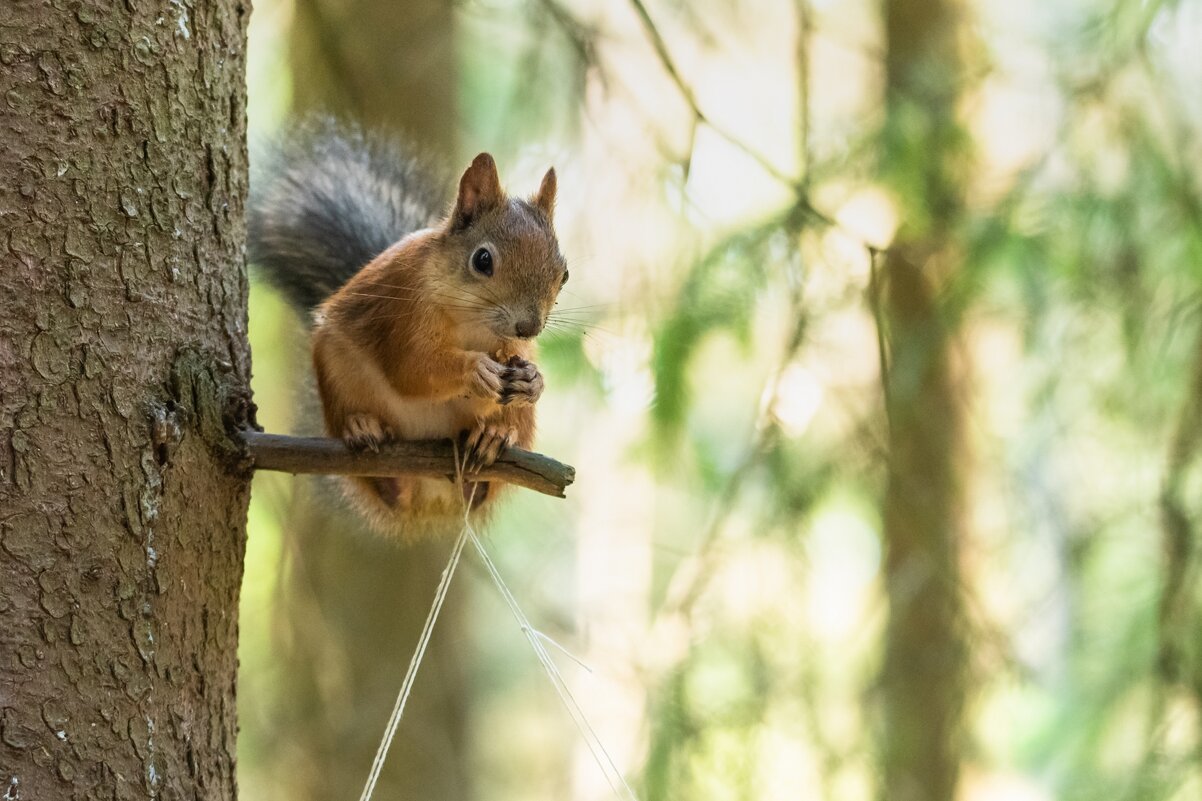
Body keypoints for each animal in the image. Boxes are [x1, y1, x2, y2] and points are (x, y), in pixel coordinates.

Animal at [248, 120, 567, 536]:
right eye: (482, 260)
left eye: (564, 273)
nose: (528, 327)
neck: (472, 323)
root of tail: (430, 498)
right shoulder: (403, 313)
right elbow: (411, 369)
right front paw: (475, 369)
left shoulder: (512, 347)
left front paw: (533, 381)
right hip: (336, 371)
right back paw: (365, 432)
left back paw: (493, 437)